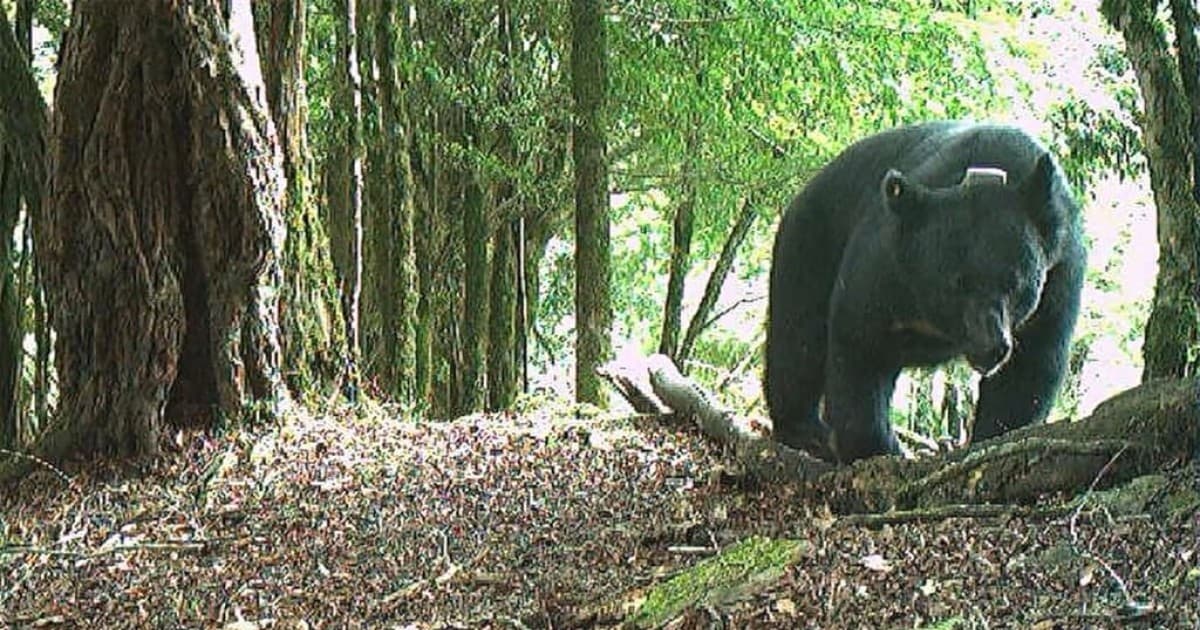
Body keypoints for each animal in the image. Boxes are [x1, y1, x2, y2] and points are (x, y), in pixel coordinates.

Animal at [764, 121, 1085, 464]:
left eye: (1014, 282)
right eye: (955, 284)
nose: (990, 346)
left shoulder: (1059, 276)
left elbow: (1028, 369)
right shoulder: (884, 262)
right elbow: (860, 344)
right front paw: (879, 449)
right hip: (811, 240)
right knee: (798, 337)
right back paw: (807, 433)